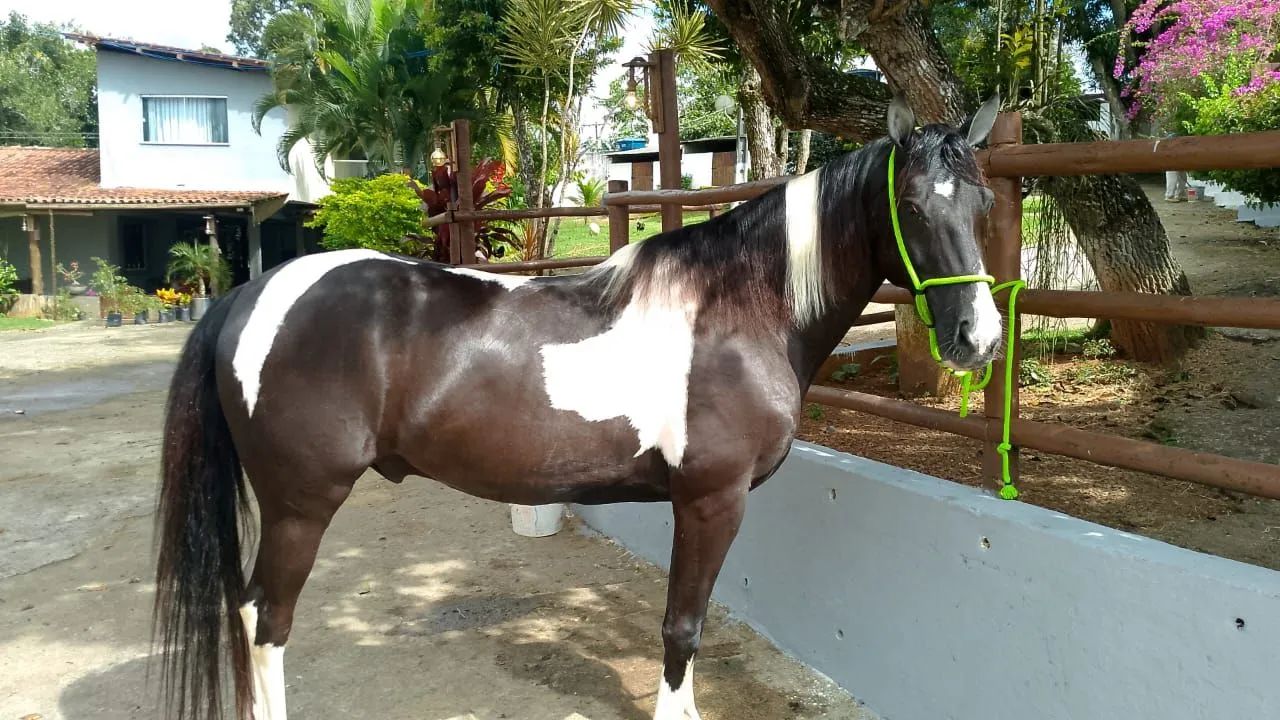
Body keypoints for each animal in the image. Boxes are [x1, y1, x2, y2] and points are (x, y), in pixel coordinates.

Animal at [154, 95, 1003, 720]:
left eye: (984, 202)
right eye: (913, 206)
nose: (980, 337)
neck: (739, 309)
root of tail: (248, 295)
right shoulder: (711, 499)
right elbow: (683, 625)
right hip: (302, 503)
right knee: (265, 623)